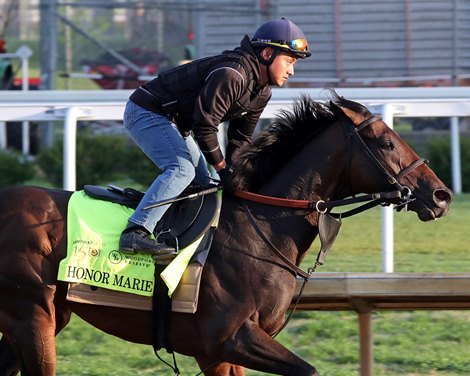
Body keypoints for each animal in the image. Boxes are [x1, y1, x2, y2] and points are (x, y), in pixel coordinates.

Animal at [0, 92, 452, 376]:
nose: (441, 195)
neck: (261, 227)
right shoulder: (229, 339)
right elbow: (308, 369)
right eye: (386, 142)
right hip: (33, 316)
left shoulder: (217, 352)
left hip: (43, 317)